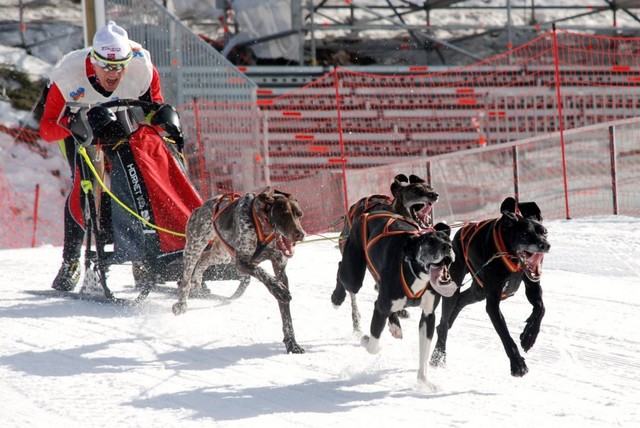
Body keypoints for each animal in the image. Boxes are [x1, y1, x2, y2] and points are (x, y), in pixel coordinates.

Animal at [174, 189, 306, 352]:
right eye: (284, 214)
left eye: (299, 215)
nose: (300, 234)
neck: (264, 228)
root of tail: (204, 205)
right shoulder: (242, 262)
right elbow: (262, 272)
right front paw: (277, 289)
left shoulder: (279, 268)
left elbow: (286, 315)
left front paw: (291, 343)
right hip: (194, 247)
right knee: (187, 276)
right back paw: (181, 303)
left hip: (222, 255)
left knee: (204, 259)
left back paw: (197, 280)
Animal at [332, 213, 458, 384]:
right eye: (429, 241)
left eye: (447, 239)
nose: (447, 247)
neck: (414, 271)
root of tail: (368, 214)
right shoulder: (381, 309)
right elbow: (373, 346)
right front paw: (365, 340)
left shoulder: (428, 316)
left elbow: (424, 354)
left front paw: (423, 380)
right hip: (353, 276)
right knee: (342, 270)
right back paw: (336, 298)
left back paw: (395, 326)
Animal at [430, 196, 552, 376]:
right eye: (524, 233)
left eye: (544, 231)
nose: (545, 245)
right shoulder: (493, 303)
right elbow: (505, 335)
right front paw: (517, 364)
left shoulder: (532, 286)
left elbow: (540, 308)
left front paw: (529, 336)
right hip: (456, 285)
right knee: (445, 321)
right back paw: (438, 356)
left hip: (479, 290)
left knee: (460, 301)